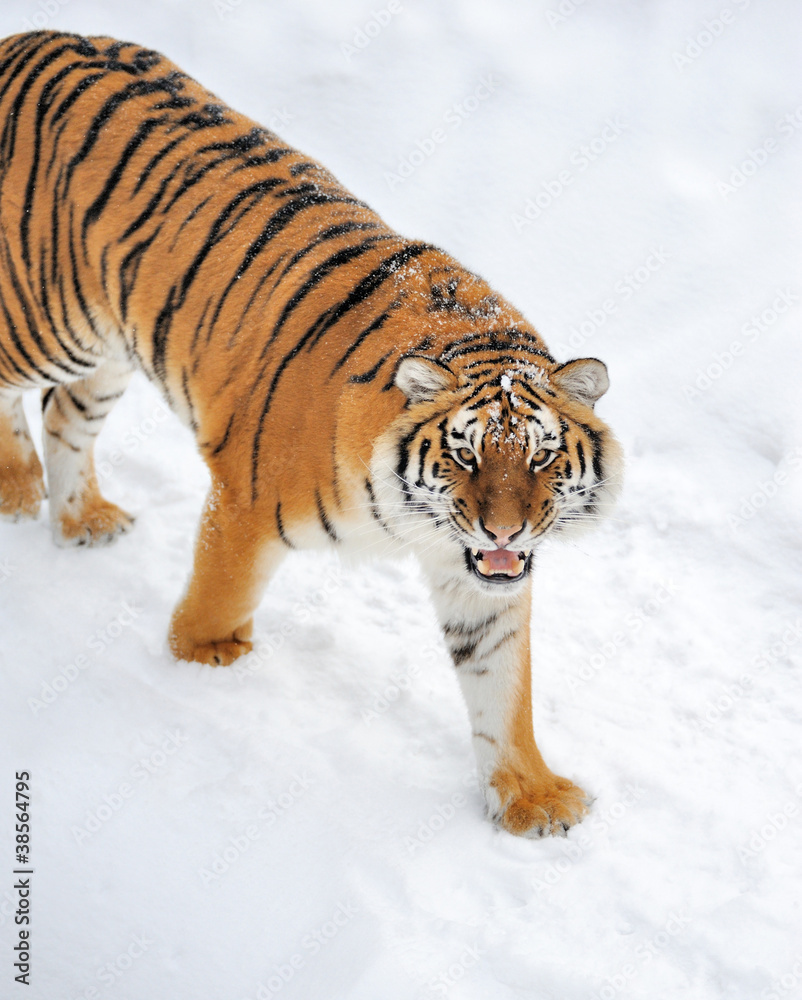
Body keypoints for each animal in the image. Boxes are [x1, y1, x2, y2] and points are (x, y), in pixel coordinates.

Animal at [0, 30, 622, 838]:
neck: (412, 521)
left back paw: (82, 521)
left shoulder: (478, 578)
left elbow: (501, 686)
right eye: (464, 455)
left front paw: (529, 796)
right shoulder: (243, 503)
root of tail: (27, 37)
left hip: (108, 347)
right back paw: (17, 488)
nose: (506, 532)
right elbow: (220, 594)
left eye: (542, 457)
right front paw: (207, 660)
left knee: (63, 414)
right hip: (48, 322)